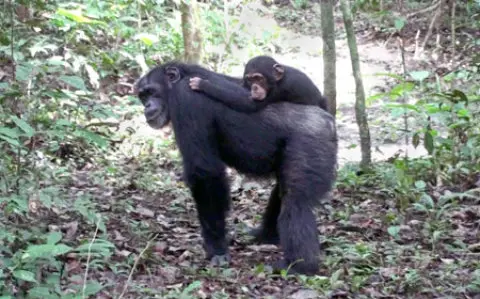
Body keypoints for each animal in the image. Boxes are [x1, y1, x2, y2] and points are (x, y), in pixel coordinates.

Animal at [135, 61, 338, 276]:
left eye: (151, 92)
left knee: (297, 201)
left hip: (311, 144)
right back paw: (264, 235)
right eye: (143, 96)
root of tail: (328, 120)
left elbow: (204, 172)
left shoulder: (186, 100)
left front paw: (216, 248)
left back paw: (300, 266)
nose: (147, 105)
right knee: (283, 190)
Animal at [189, 54, 328, 112]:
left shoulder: (279, 90)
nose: (255, 88)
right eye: (250, 80)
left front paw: (203, 84)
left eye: (259, 78)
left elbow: (249, 104)